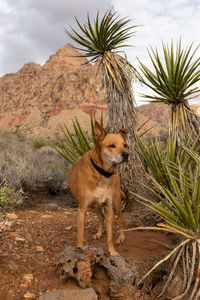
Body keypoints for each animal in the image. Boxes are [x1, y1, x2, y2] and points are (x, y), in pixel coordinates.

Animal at [68, 120, 129, 256]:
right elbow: (80, 233)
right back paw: (99, 233)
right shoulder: (82, 208)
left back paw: (121, 237)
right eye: (112, 145)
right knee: (101, 217)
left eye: (125, 145)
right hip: (94, 205)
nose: (126, 155)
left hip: (116, 201)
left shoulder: (109, 207)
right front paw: (80, 249)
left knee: (121, 219)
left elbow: (110, 236)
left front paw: (112, 251)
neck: (102, 173)